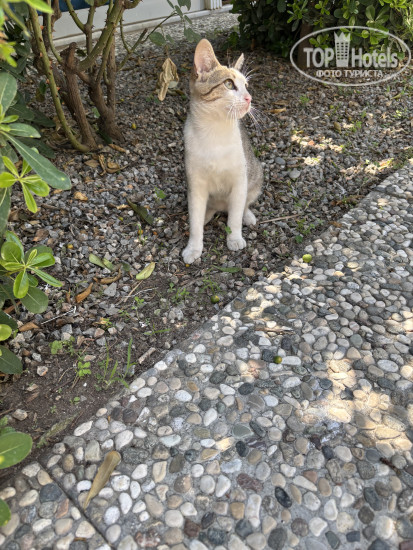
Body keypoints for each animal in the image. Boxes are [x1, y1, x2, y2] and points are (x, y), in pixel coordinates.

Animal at [182, 39, 263, 264]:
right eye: (228, 84)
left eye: (246, 86)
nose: (249, 98)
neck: (215, 133)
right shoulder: (196, 184)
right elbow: (195, 221)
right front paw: (194, 247)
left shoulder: (239, 179)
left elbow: (234, 216)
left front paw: (234, 238)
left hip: (256, 174)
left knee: (243, 204)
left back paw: (247, 215)